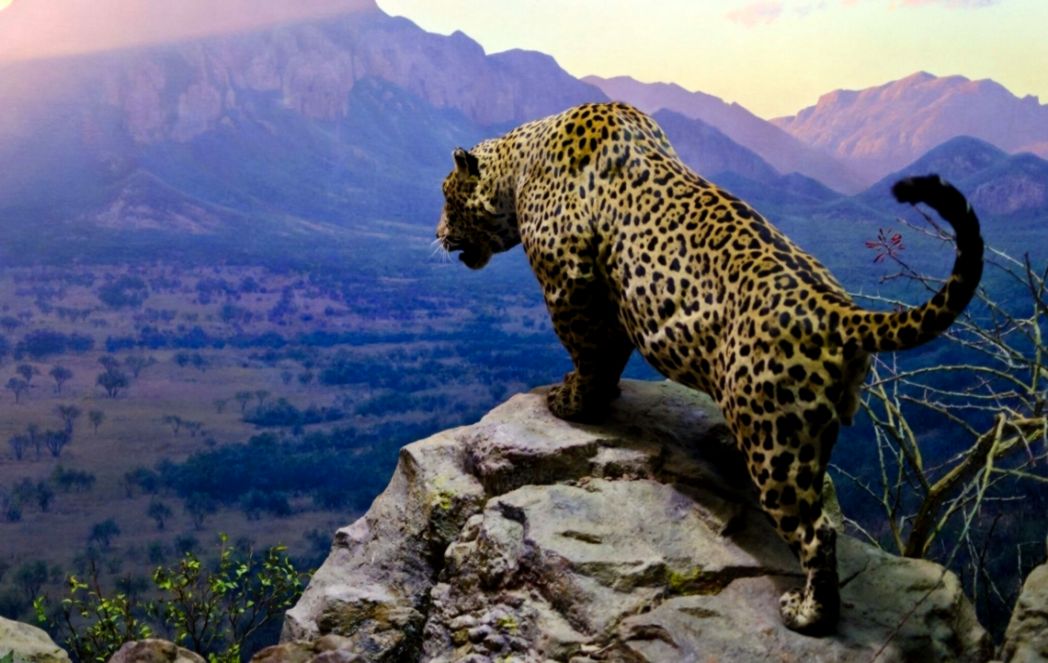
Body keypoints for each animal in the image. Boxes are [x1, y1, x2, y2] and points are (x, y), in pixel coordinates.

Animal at [436, 102, 983, 635]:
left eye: (446, 198)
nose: (438, 234)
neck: (519, 163)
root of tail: (838, 310)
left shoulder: (570, 283)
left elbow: (590, 352)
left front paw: (573, 402)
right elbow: (609, 354)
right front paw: (598, 395)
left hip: (775, 443)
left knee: (816, 532)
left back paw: (809, 614)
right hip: (810, 426)